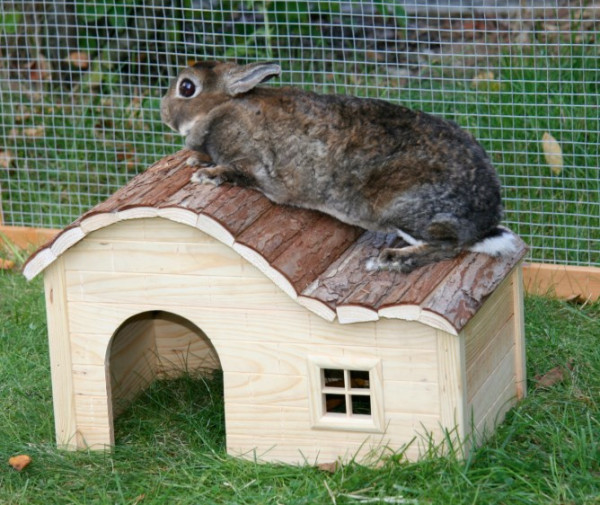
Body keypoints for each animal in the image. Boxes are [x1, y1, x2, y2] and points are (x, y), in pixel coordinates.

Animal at [162, 61, 516, 272]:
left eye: (187, 87)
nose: (164, 113)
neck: (221, 109)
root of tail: (486, 216)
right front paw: (196, 160)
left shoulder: (253, 163)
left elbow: (235, 171)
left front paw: (206, 175)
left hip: (403, 208)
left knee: (449, 246)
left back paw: (391, 259)